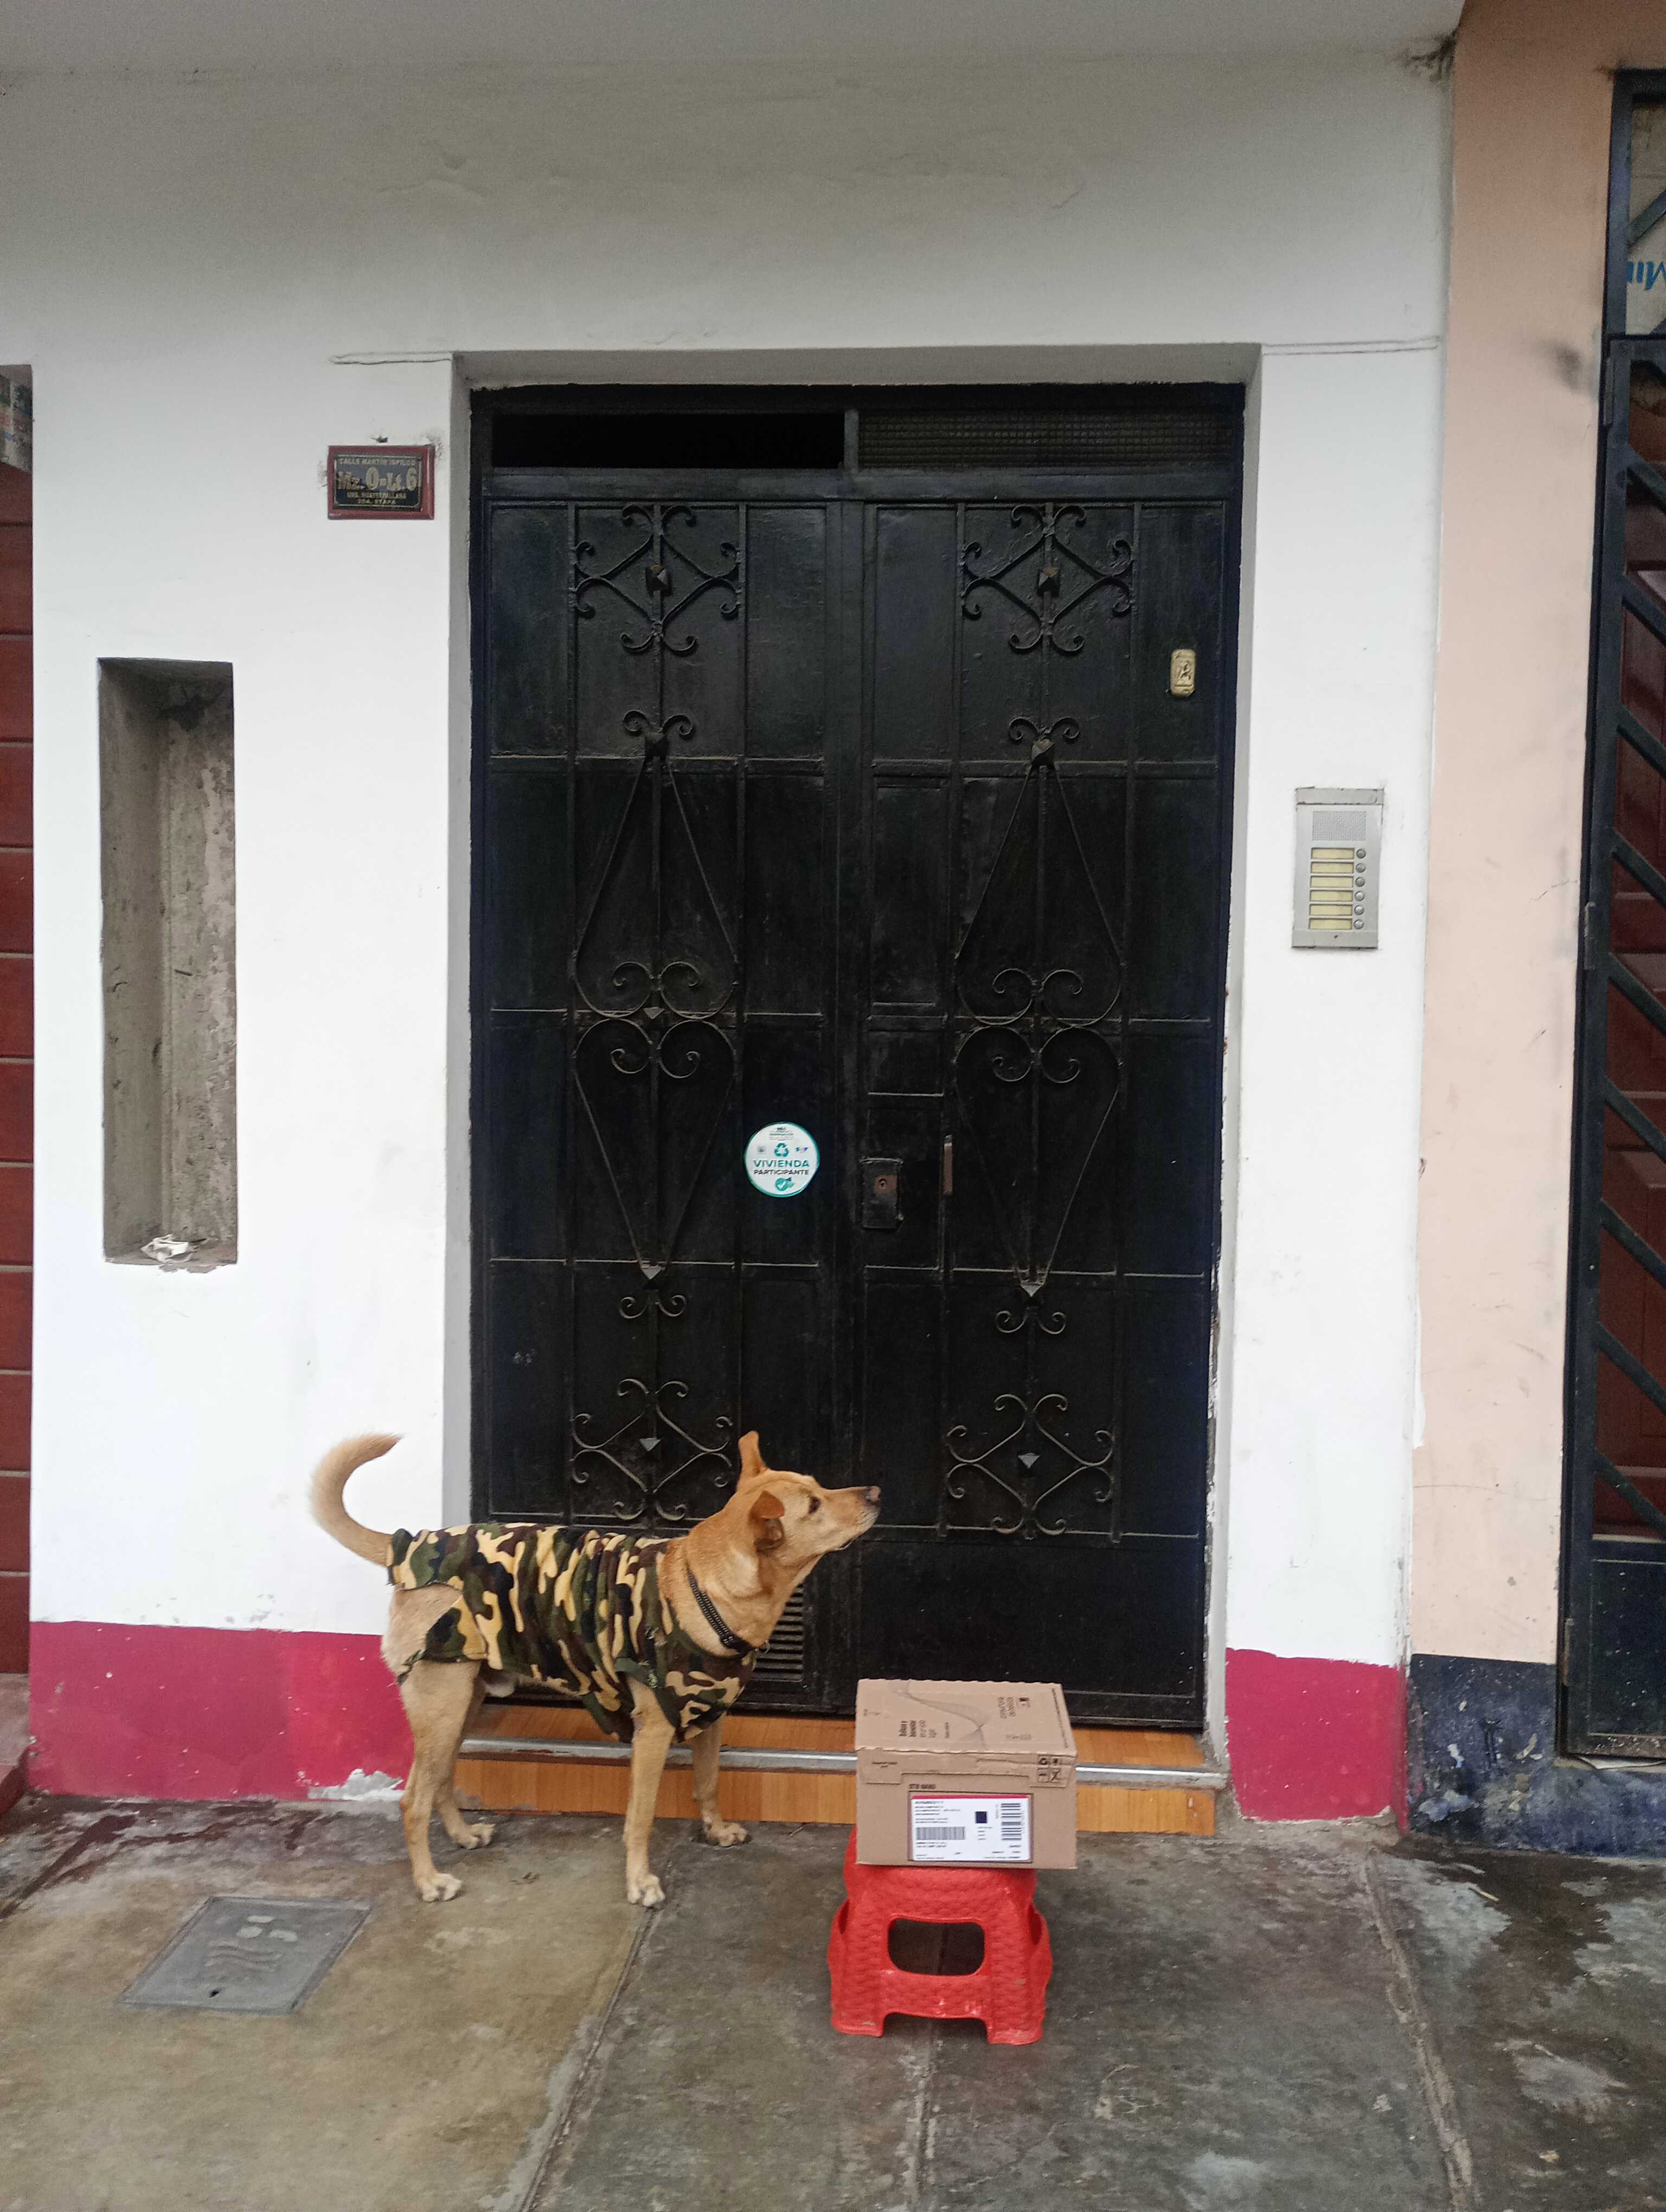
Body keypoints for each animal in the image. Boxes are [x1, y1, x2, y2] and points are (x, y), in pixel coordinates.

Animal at [311, 1431, 878, 1905]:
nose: (874, 1491)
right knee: (413, 1799)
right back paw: (429, 1881)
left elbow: (709, 1783)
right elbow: (640, 1817)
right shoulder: (654, 1732)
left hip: (464, 1703)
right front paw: (640, 1882)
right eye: (814, 1505)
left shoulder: (710, 1717)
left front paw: (716, 1830)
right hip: (442, 1705)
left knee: (443, 1777)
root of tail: (408, 1546)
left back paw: (462, 1834)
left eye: (817, 1486)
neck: (706, 1586)